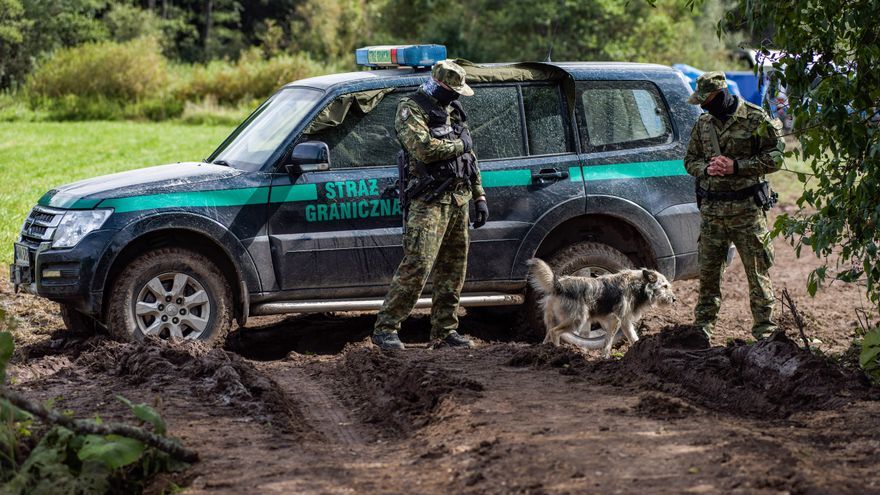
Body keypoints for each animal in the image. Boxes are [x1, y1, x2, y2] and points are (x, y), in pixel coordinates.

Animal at [524, 260, 676, 356]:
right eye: (665, 286)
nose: (675, 299)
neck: (639, 285)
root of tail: (558, 285)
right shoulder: (616, 320)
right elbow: (608, 342)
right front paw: (605, 358)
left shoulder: (624, 321)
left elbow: (633, 337)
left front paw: (639, 348)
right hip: (577, 320)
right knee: (555, 332)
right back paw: (557, 351)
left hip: (554, 319)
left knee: (548, 334)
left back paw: (545, 351)